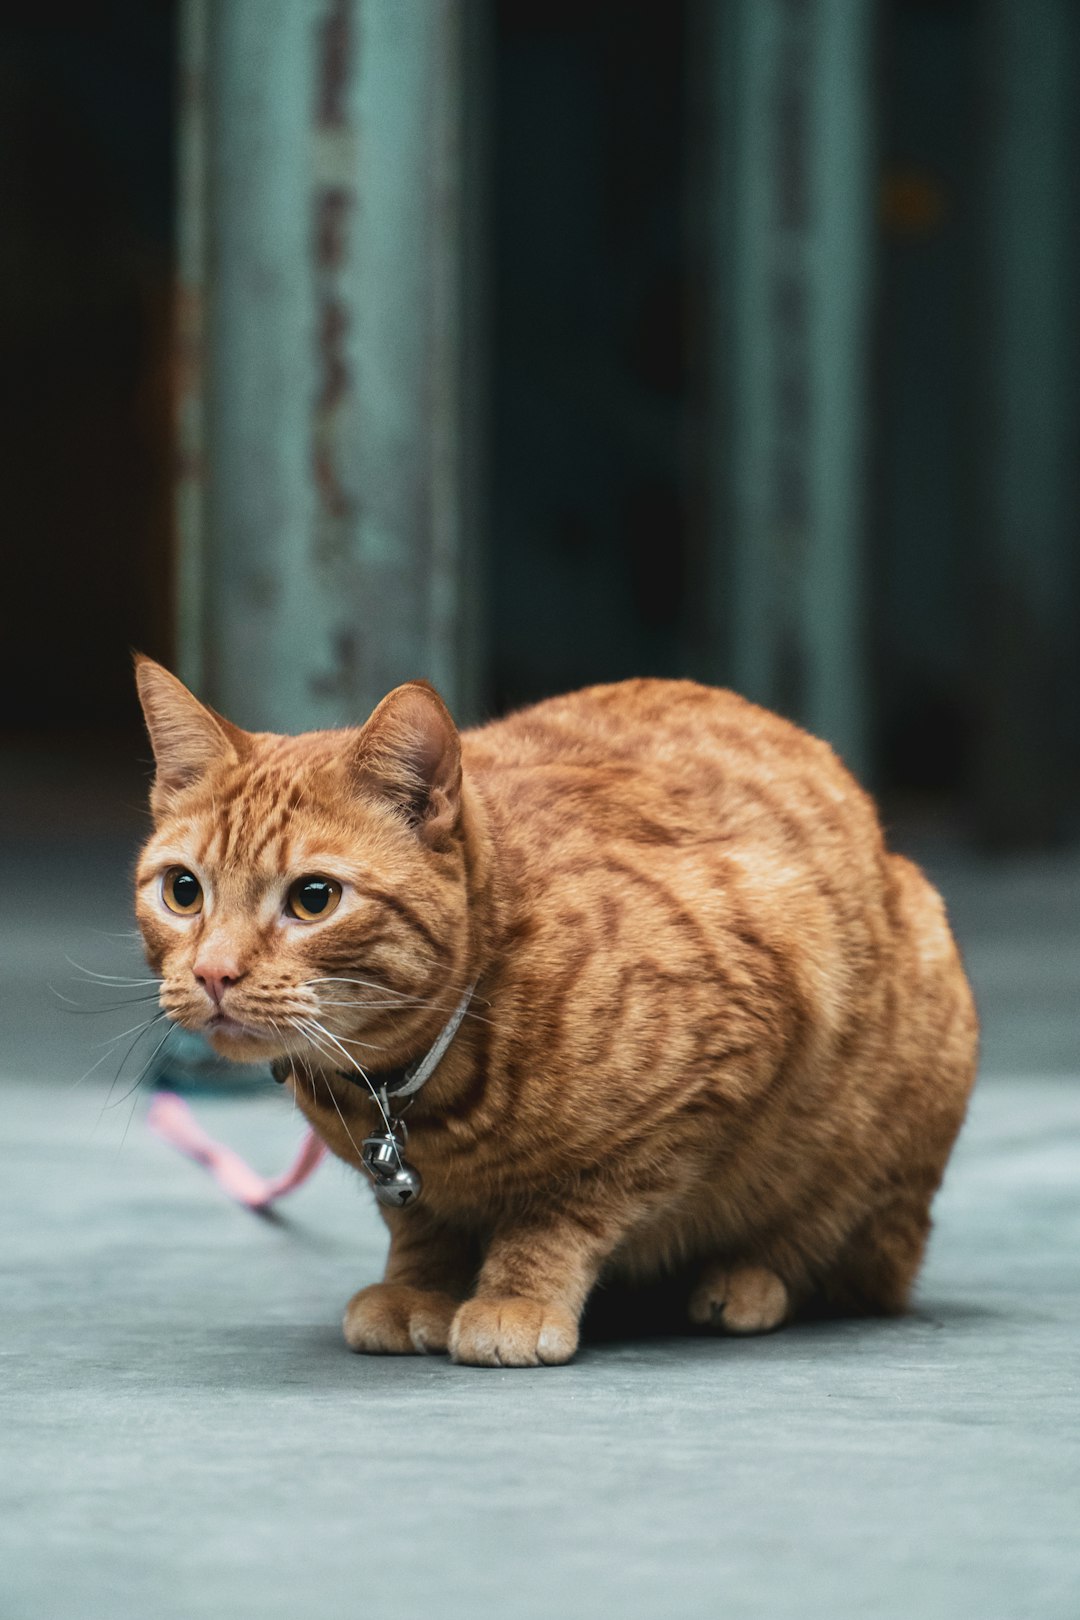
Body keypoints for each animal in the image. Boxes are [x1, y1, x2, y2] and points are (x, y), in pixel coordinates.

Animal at [132, 657, 977, 1367]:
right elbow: (420, 1223)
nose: (213, 972)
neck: (410, 1089)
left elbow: (563, 1212)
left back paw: (750, 1278)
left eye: (313, 898)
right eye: (183, 891)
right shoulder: (405, 1185)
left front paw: (516, 1296)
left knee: (837, 1244)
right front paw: (418, 1288)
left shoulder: (716, 1067)